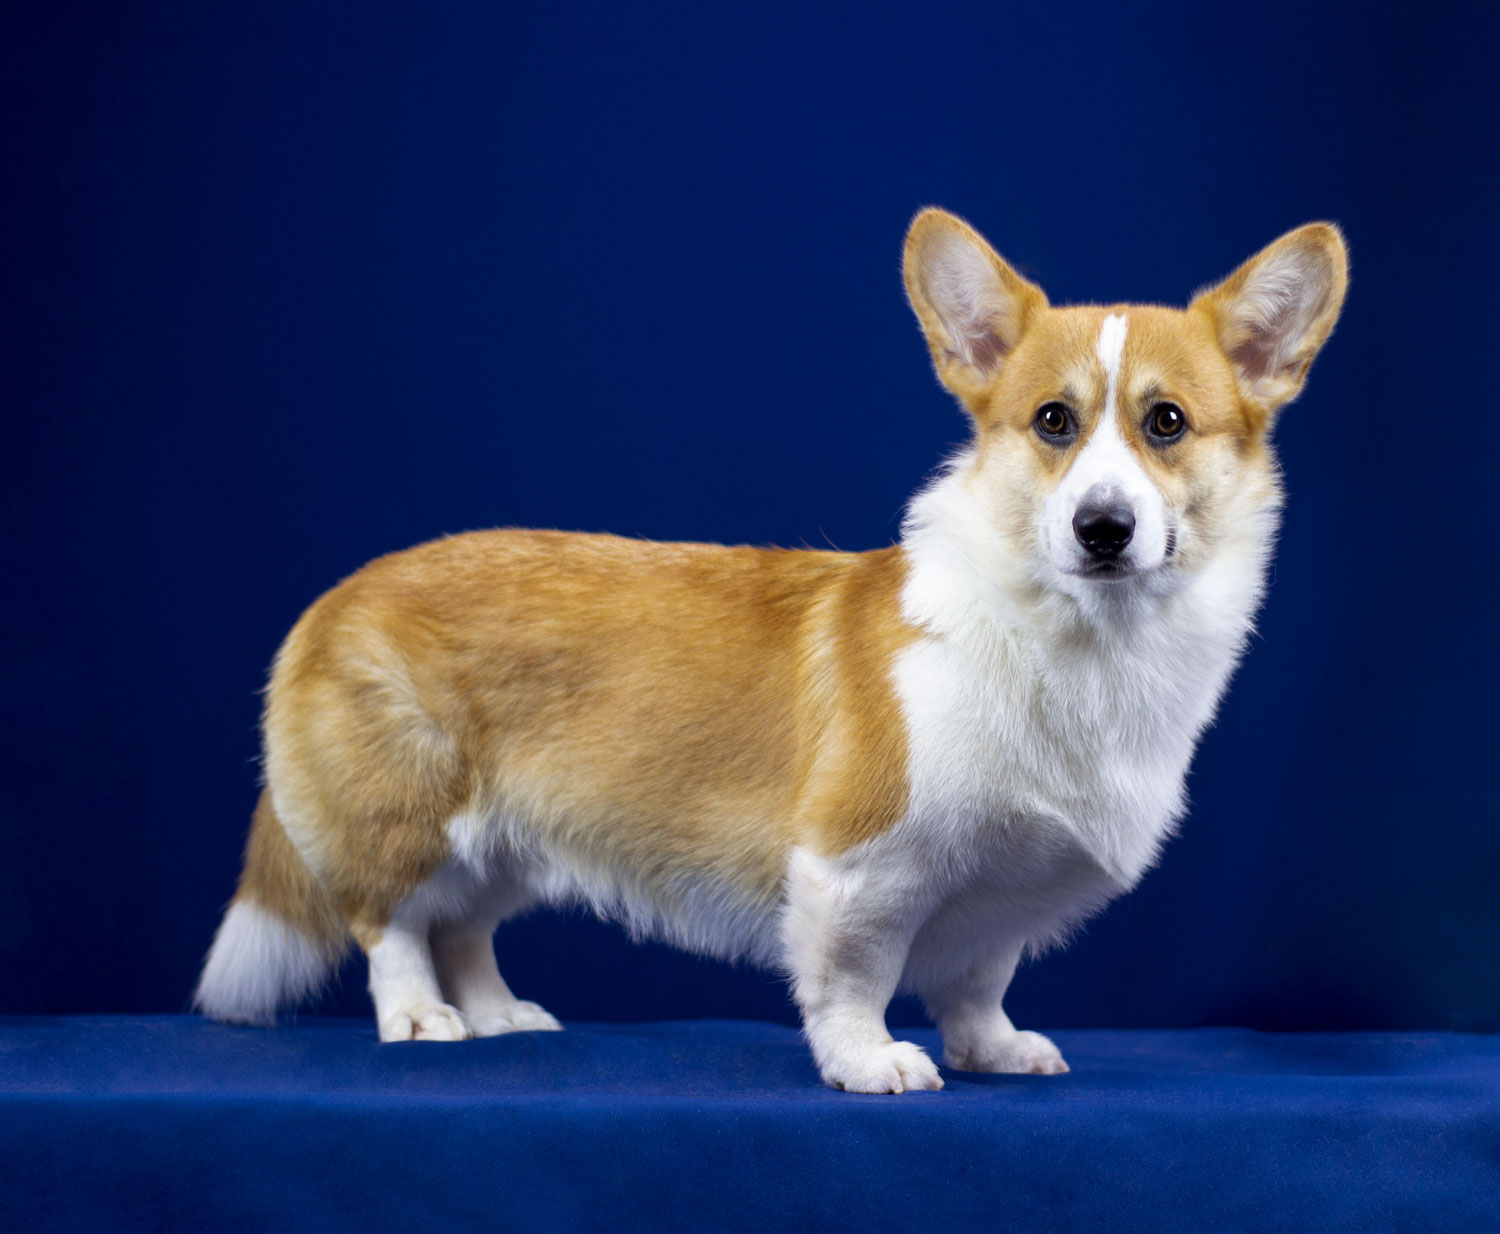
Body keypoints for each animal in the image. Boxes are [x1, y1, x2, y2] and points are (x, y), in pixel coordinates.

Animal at [194, 209, 1347, 1092]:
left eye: (1168, 423)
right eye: (1053, 422)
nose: (1103, 528)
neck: (1073, 639)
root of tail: (334, 598)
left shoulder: (998, 901)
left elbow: (980, 981)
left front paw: (993, 1050)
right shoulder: (860, 864)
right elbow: (857, 980)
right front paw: (871, 1063)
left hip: (505, 838)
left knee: (463, 928)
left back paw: (498, 1013)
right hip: (409, 817)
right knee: (391, 924)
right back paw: (422, 1019)